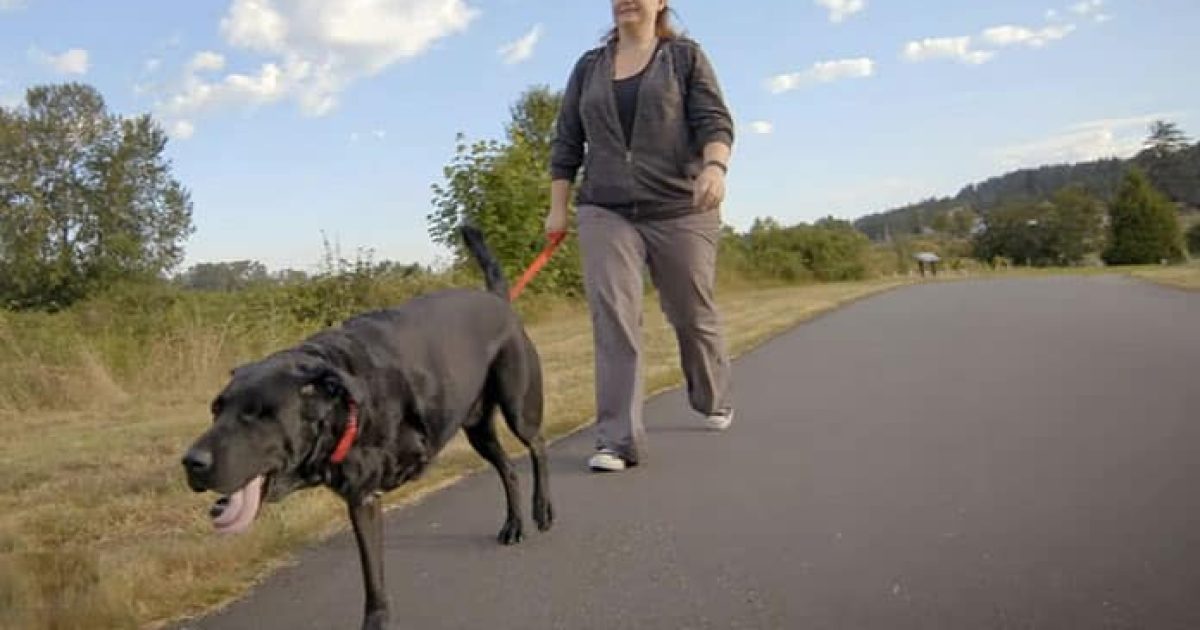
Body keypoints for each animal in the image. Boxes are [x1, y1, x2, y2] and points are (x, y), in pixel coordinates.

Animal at [180, 225, 554, 628]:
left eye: (261, 414)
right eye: (216, 409)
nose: (192, 462)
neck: (343, 408)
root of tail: (499, 301)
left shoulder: (366, 495)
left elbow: (372, 573)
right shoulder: (361, 500)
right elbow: (372, 572)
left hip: (519, 406)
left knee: (538, 445)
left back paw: (542, 509)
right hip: (478, 429)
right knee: (508, 468)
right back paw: (514, 524)